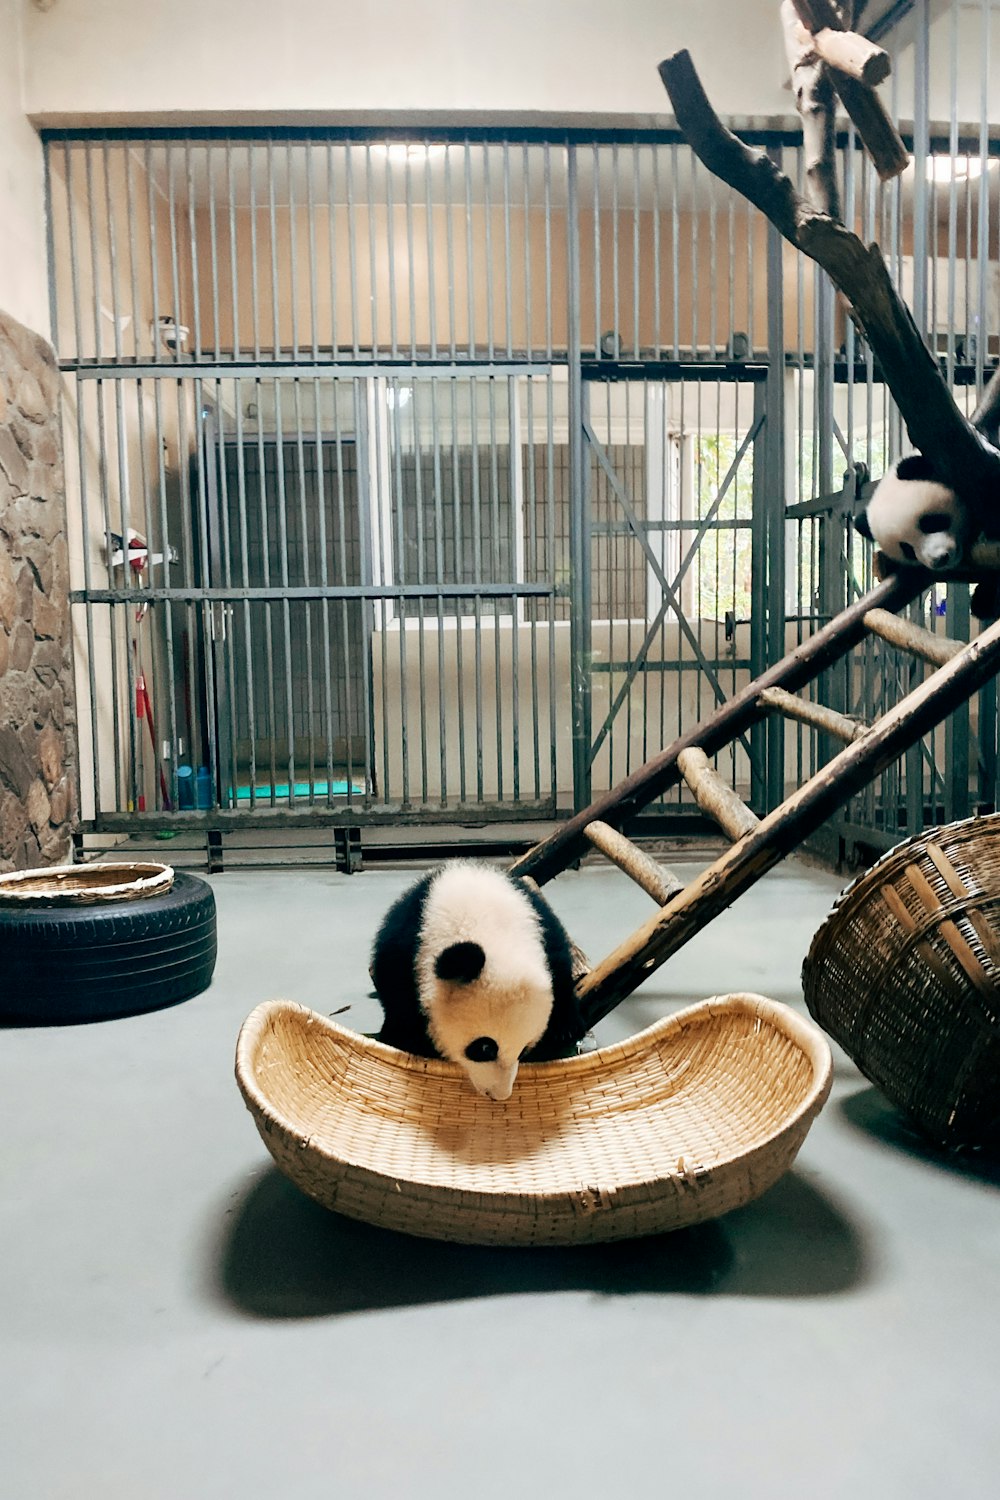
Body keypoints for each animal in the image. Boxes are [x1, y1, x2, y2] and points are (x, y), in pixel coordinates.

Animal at [371, 858, 581, 1104]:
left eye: (524, 1050)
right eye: (484, 1048)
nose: (499, 1095)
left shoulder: (542, 925)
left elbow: (561, 971)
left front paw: (565, 1028)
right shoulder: (408, 943)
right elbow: (398, 995)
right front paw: (407, 1037)